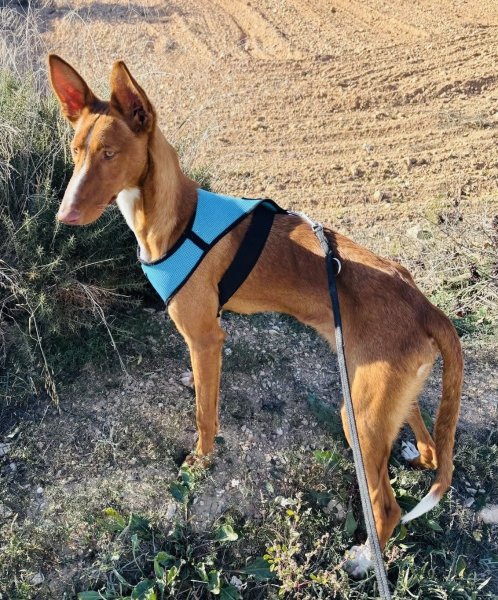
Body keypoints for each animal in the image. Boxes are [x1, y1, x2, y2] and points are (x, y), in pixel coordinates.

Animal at [48, 55, 463, 576]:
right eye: (77, 151)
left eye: (109, 153)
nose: (63, 216)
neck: (178, 218)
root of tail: (424, 303)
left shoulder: (207, 338)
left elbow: (205, 414)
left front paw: (200, 462)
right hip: (382, 389)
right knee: (429, 448)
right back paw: (413, 456)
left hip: (360, 416)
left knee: (385, 507)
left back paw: (364, 560)